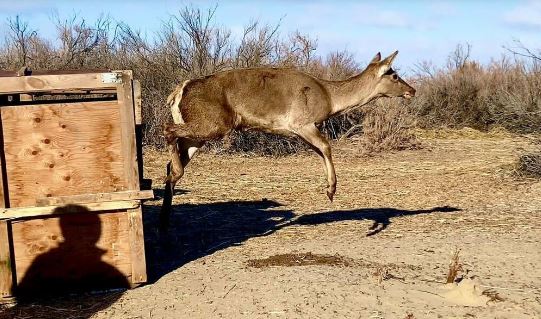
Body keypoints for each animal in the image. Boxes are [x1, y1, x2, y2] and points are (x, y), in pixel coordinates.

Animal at [159, 51, 414, 229]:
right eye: (394, 74)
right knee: (167, 129)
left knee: (172, 159)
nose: (412, 90)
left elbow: (320, 150)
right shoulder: (302, 122)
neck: (330, 99)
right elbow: (326, 146)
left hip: (199, 134)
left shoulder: (301, 131)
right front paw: (331, 190)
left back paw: (166, 217)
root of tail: (177, 93)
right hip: (213, 123)